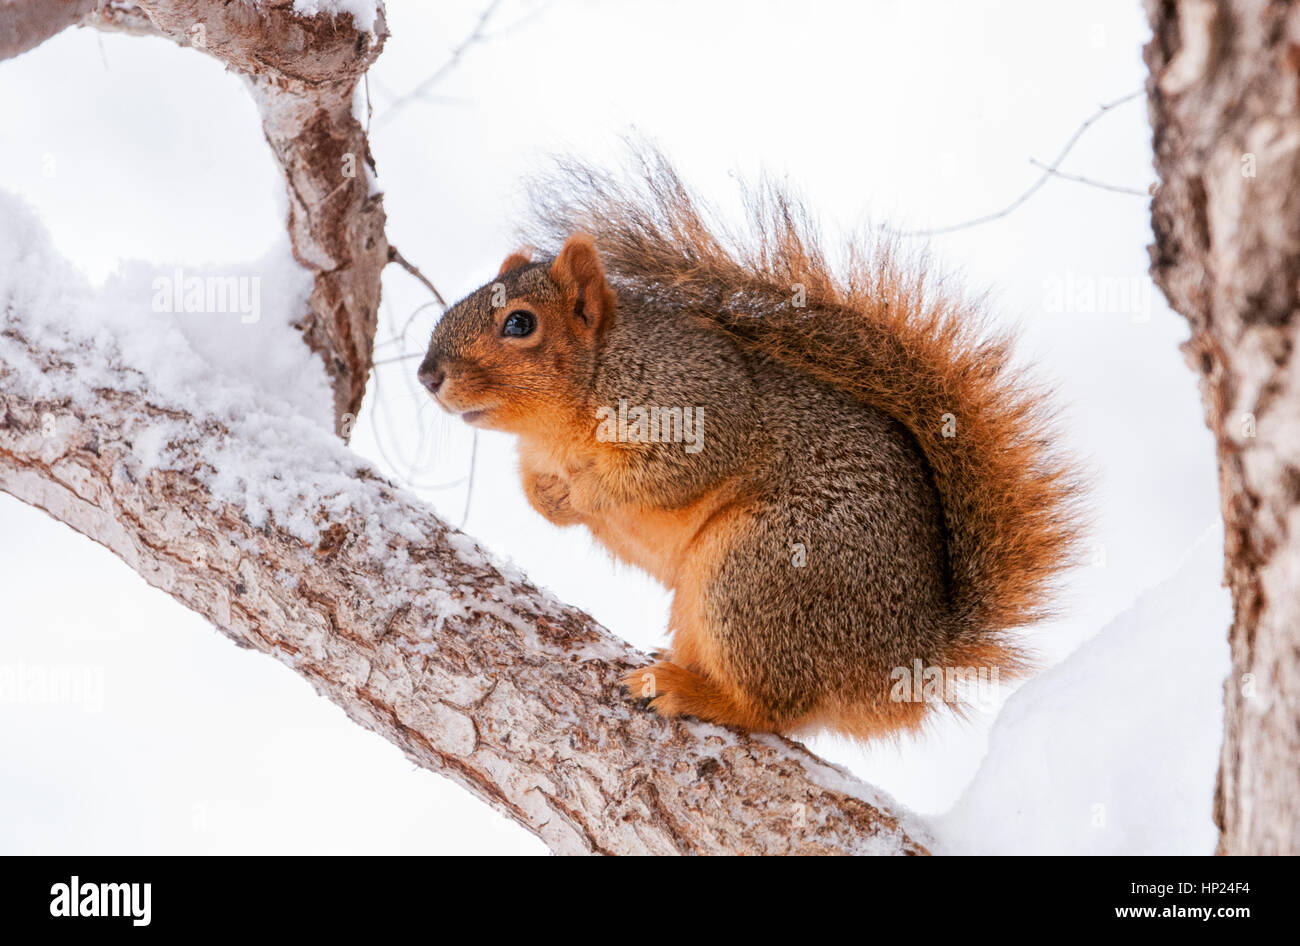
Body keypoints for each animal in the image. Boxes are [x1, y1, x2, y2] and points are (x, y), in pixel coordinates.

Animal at [418, 148, 1086, 738]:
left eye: (520, 323)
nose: (427, 376)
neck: (562, 421)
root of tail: (908, 656)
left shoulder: (696, 409)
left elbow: (665, 474)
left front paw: (583, 491)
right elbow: (537, 490)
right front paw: (548, 498)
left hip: (759, 568)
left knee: (772, 706)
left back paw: (688, 691)